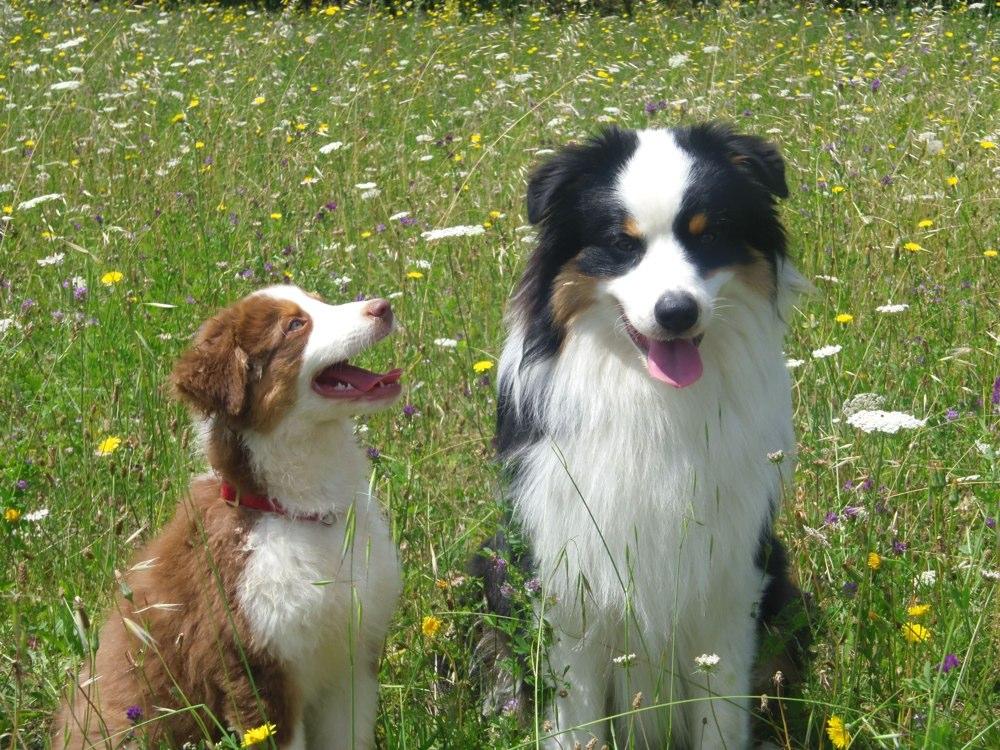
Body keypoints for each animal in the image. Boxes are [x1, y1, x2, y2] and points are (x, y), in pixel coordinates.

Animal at [52, 286, 404, 750]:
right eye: (295, 325)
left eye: (318, 300)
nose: (383, 307)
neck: (295, 511)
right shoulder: (255, 673)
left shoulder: (352, 659)